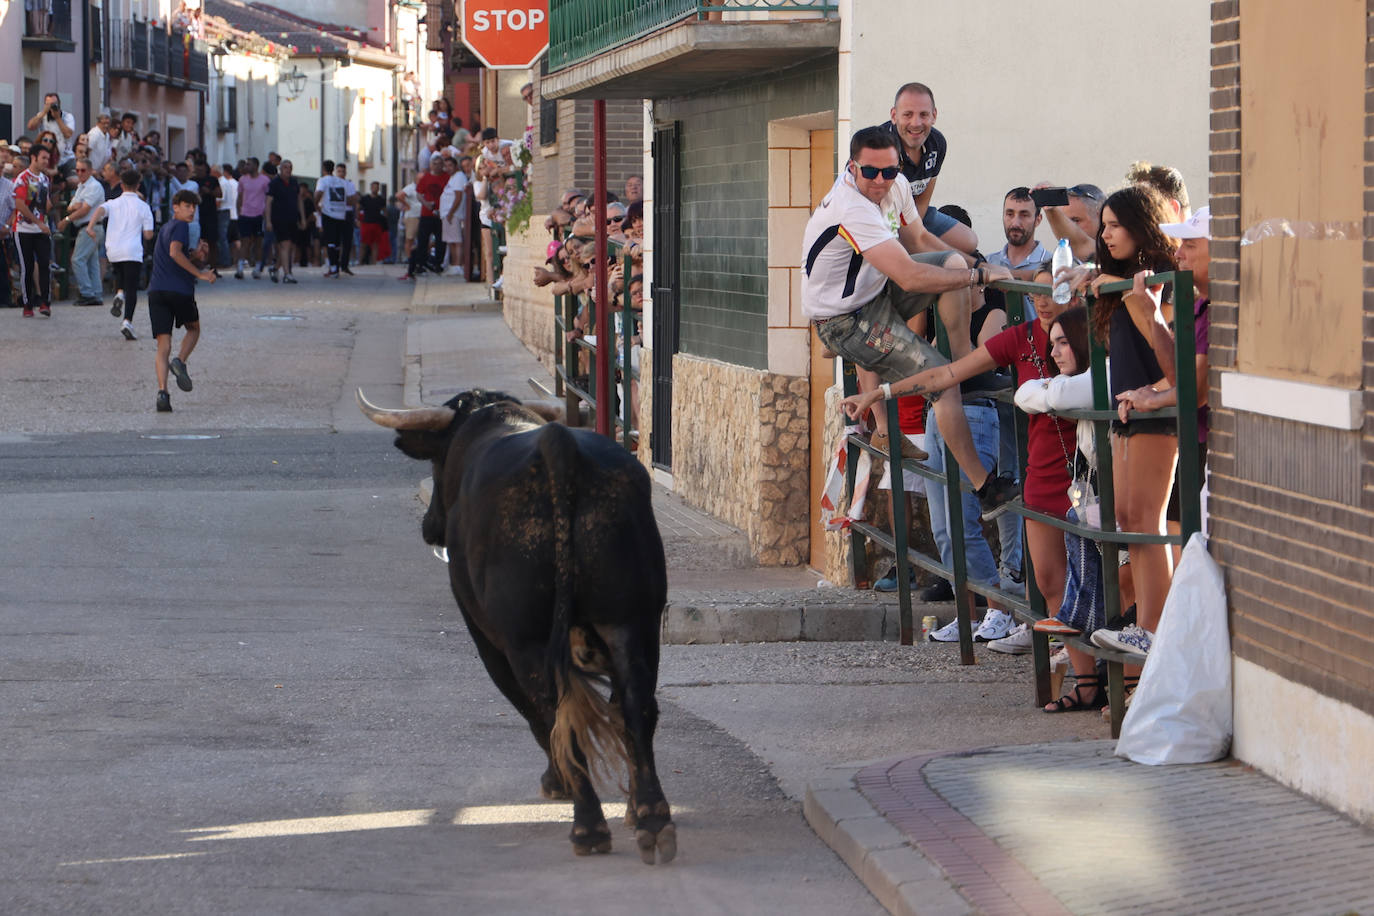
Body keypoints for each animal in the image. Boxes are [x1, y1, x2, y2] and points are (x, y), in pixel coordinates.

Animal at [357, 390, 673, 862]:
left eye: (435, 462)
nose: (429, 527)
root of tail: (560, 446)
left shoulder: (489, 641)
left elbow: (533, 713)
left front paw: (557, 784)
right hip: (632, 621)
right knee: (636, 705)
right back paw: (651, 818)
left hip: (529, 642)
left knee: (556, 712)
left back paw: (589, 827)